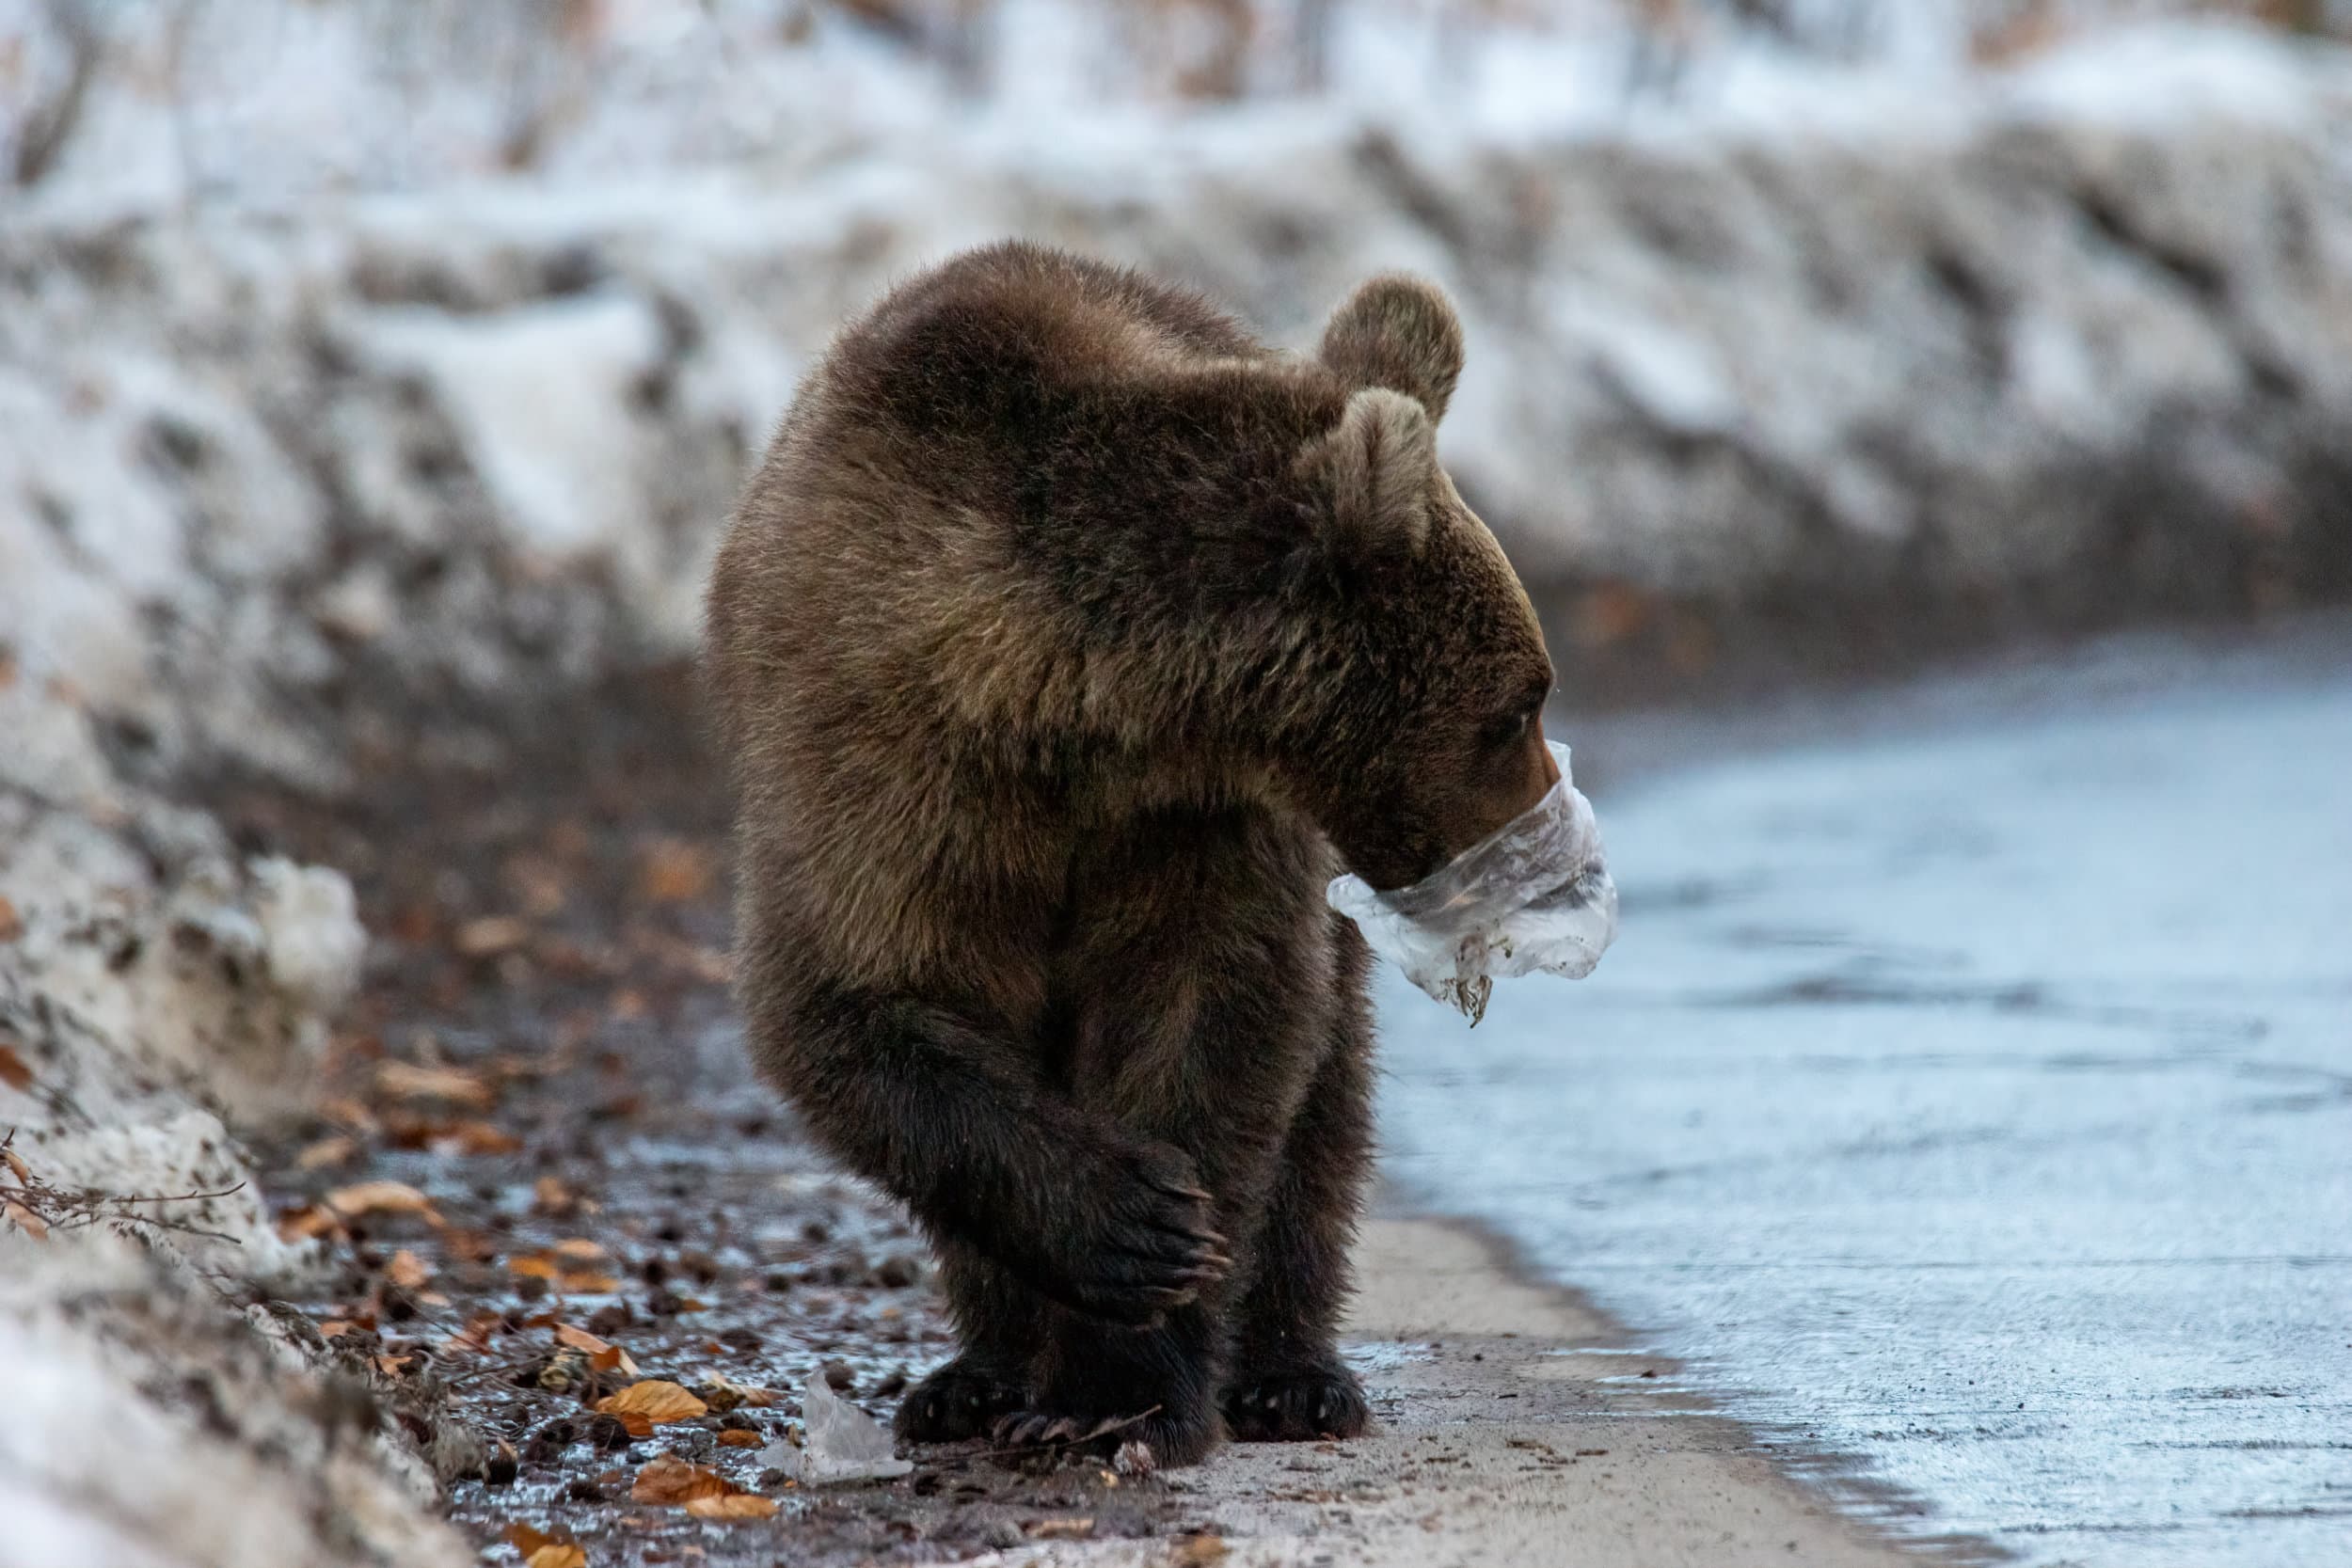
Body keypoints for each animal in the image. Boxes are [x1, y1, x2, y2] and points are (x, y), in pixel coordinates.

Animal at [702, 241, 1560, 1467]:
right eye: (1515, 706)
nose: (1537, 838)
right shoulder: (881, 768)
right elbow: (860, 999)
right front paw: (1132, 1228)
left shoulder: (1195, 828)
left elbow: (1211, 1020)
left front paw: (1123, 1384)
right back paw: (972, 1379)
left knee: (1327, 1105)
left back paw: (1294, 1375)